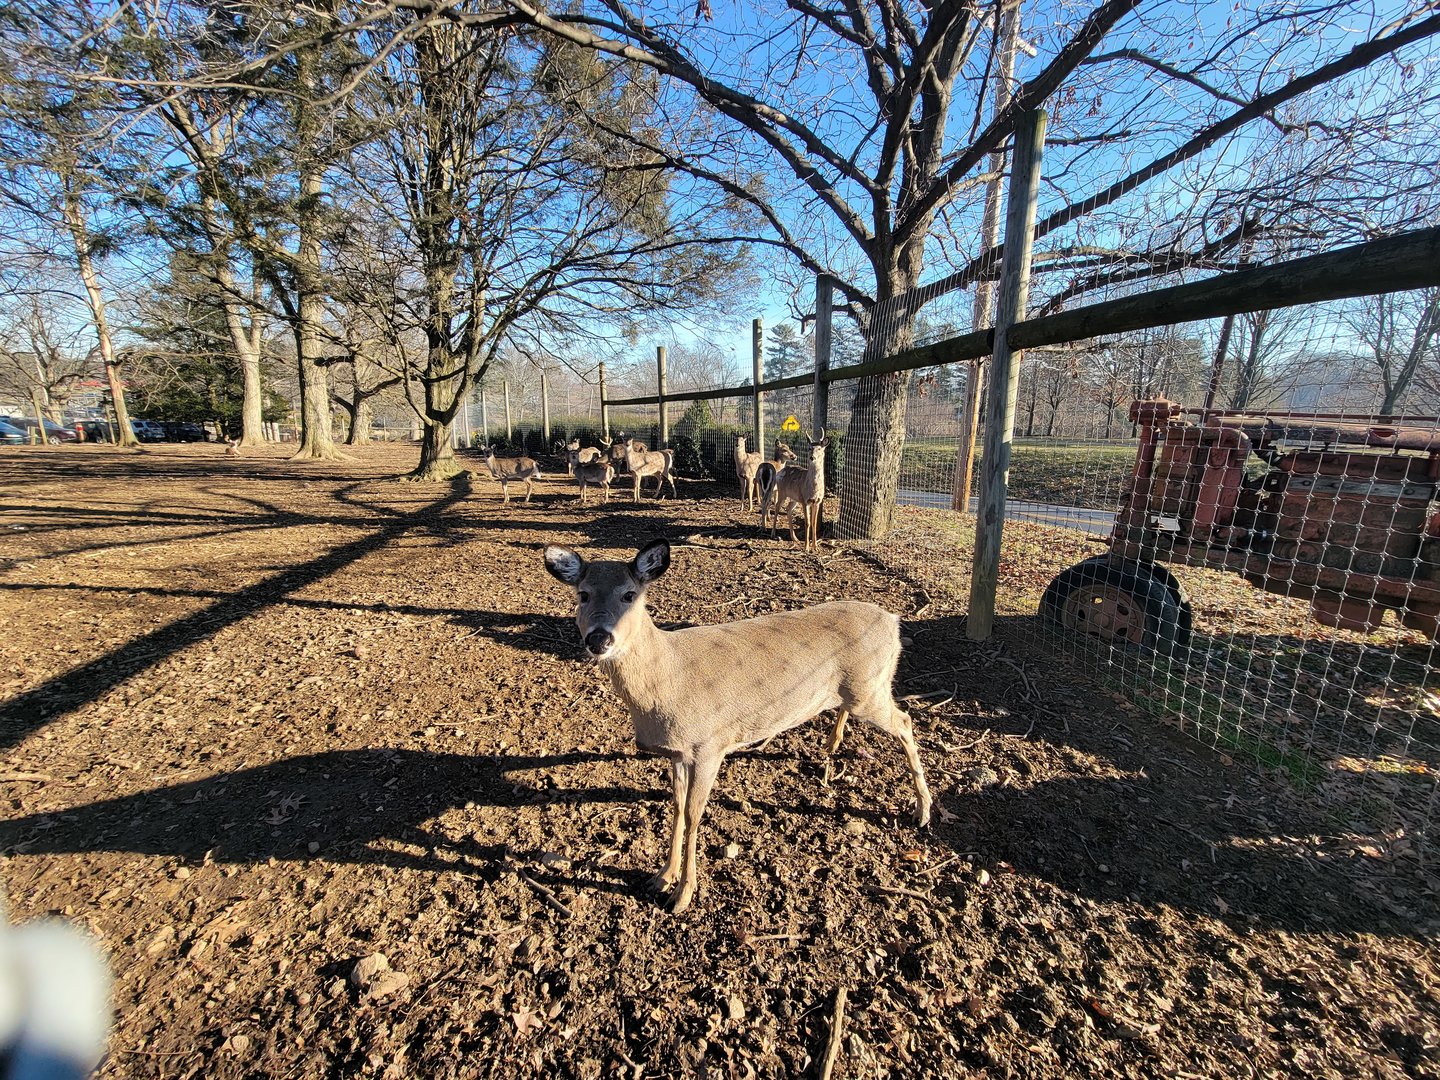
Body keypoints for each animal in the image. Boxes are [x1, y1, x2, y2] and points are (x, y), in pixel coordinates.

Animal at [543, 538, 930, 913]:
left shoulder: (710, 742)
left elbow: (694, 814)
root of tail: (893, 621)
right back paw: (831, 747)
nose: (598, 639)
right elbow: (677, 809)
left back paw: (922, 810)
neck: (668, 680)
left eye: (629, 595)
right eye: (582, 594)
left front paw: (683, 895)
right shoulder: (677, 752)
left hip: (870, 689)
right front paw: (662, 877)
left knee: (906, 721)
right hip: (859, 690)